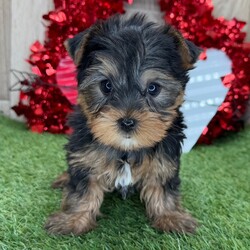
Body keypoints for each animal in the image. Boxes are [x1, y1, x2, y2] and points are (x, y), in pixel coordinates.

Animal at [44, 13, 201, 235]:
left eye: (153, 88)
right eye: (106, 85)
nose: (127, 122)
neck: (127, 148)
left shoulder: (165, 158)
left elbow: (162, 185)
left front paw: (170, 216)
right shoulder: (85, 156)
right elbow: (82, 189)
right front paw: (72, 219)